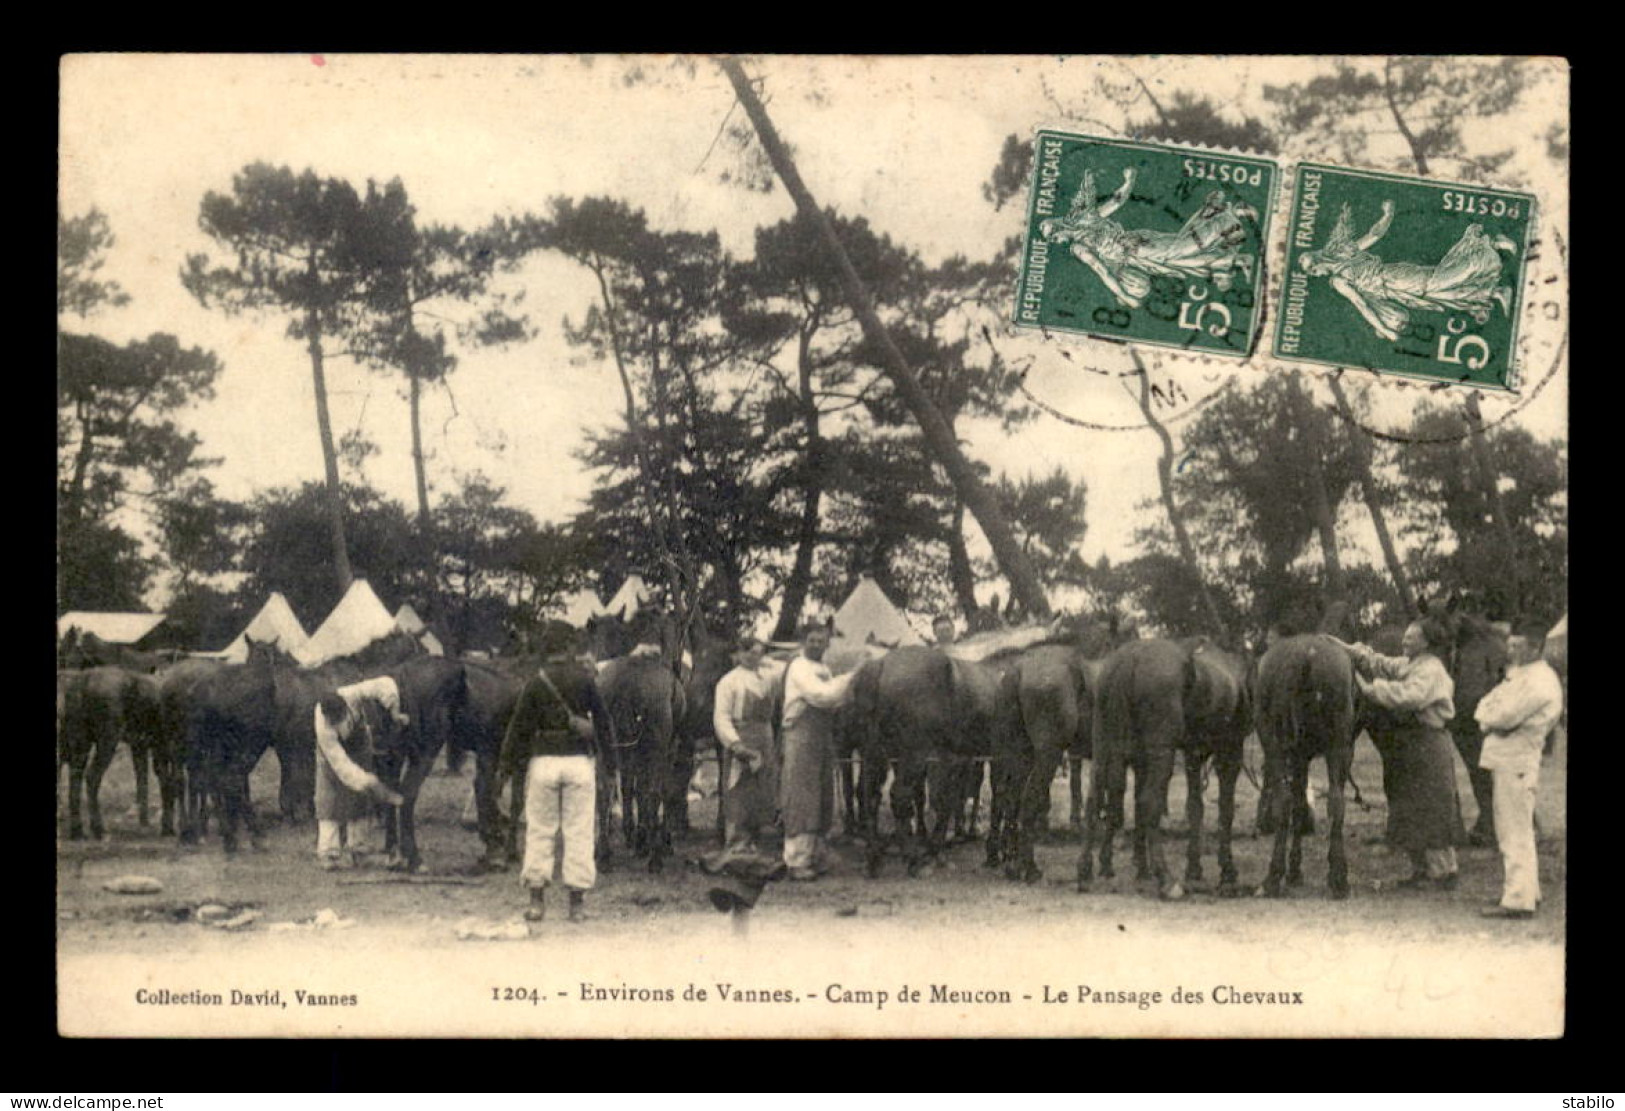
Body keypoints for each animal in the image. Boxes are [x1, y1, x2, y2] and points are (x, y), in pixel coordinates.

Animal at [1254, 636, 1358, 896]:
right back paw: (1338, 877)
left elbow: (1299, 804)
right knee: (1335, 801)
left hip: (1276, 746)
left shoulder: (1298, 755)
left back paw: (1274, 876)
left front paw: (1294, 870)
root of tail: (1306, 656)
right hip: (1336, 747)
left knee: (1285, 801)